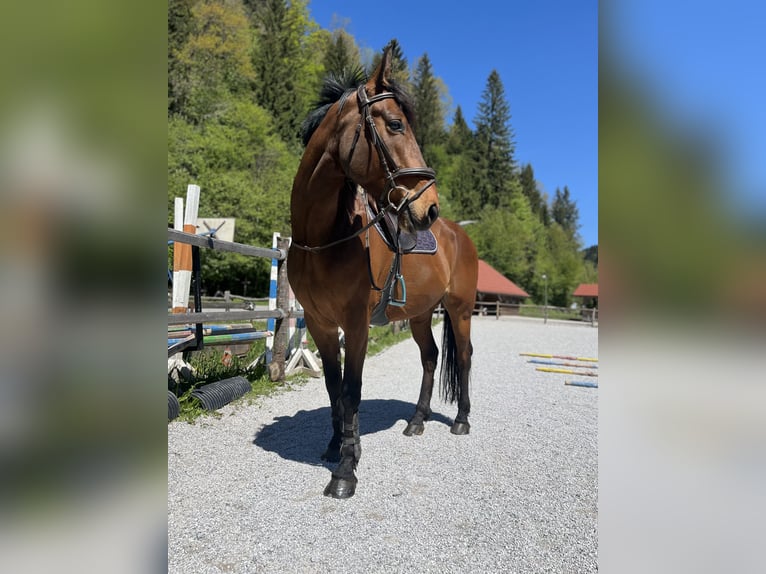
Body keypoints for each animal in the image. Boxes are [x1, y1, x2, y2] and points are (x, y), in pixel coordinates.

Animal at [287, 46, 478, 499]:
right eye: (394, 124)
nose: (429, 207)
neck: (322, 238)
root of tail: (459, 234)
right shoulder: (320, 324)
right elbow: (333, 386)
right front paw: (336, 445)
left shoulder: (356, 323)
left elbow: (352, 391)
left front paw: (346, 470)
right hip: (421, 315)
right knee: (431, 357)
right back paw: (417, 421)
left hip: (460, 310)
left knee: (463, 357)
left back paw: (461, 420)